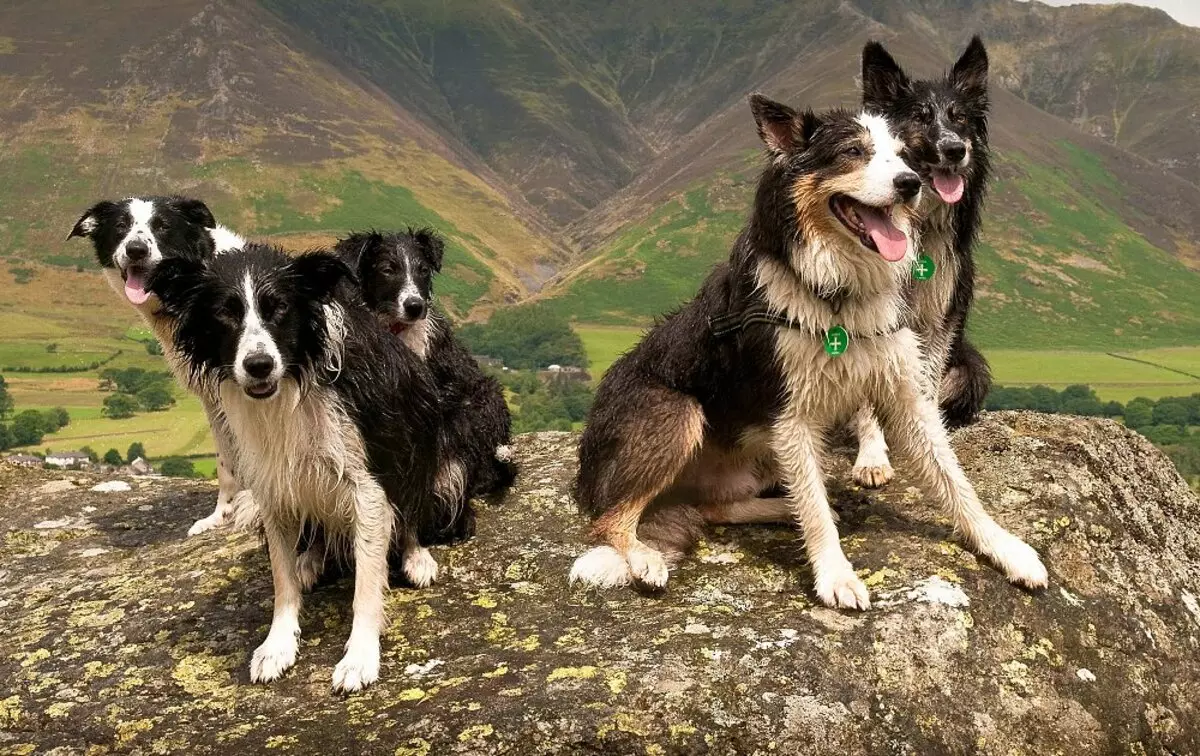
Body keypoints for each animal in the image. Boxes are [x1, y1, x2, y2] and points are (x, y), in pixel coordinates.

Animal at [68, 198, 253, 535]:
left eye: (163, 226)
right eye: (121, 226)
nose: (136, 249)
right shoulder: (215, 400)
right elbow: (227, 465)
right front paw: (222, 515)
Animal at [148, 246, 446, 696]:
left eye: (279, 308)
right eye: (224, 312)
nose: (258, 364)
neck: (291, 382)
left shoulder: (367, 482)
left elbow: (366, 582)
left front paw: (360, 657)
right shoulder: (272, 483)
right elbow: (281, 578)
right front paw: (277, 645)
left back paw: (417, 557)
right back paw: (311, 558)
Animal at [849, 38, 998, 492]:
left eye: (960, 117)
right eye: (919, 117)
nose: (955, 149)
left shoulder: (942, 311)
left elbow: (928, 382)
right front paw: (872, 457)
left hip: (971, 369)